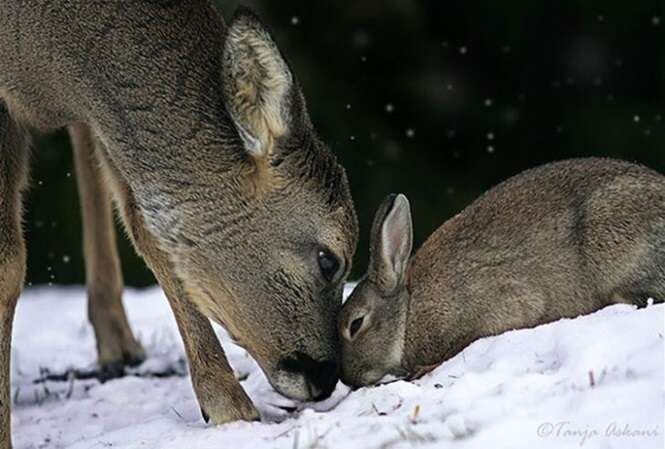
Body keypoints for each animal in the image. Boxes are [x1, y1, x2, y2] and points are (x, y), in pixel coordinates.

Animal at [0, 2, 358, 444]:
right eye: (329, 260)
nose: (325, 376)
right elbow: (9, 264)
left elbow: (149, 228)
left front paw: (226, 404)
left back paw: (118, 342)